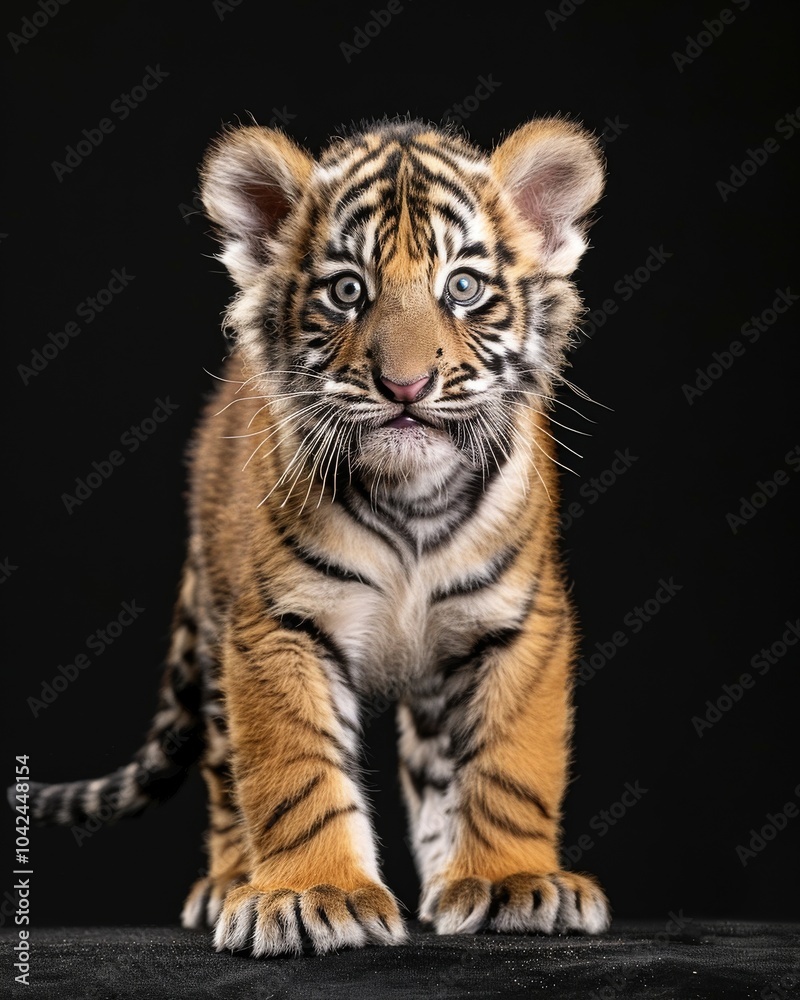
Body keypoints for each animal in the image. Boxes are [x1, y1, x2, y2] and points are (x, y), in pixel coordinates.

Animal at [21, 114, 611, 956]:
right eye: (347, 291)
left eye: (463, 288)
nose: (406, 386)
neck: (411, 500)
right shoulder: (279, 623)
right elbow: (294, 769)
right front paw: (313, 895)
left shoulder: (518, 621)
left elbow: (508, 763)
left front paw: (512, 882)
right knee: (225, 779)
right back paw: (232, 882)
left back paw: (445, 881)